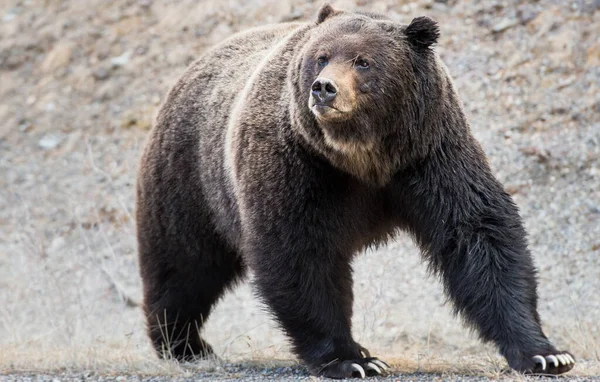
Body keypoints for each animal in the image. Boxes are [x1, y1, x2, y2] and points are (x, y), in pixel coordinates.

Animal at [136, 3, 576, 380]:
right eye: (321, 56)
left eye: (363, 61)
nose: (323, 88)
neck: (364, 155)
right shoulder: (299, 165)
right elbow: (300, 253)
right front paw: (353, 359)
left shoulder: (430, 156)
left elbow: (479, 236)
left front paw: (545, 353)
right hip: (191, 175)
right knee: (184, 263)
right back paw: (184, 344)